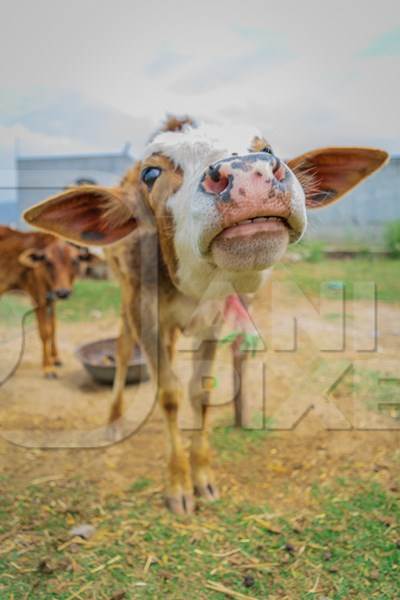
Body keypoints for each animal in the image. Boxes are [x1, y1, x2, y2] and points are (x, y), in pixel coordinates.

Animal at [23, 118, 390, 516]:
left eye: (267, 149)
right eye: (151, 173)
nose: (249, 174)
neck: (189, 288)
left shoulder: (213, 320)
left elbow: (200, 391)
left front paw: (202, 478)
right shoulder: (144, 312)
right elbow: (168, 393)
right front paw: (178, 485)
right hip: (125, 299)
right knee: (122, 351)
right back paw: (115, 418)